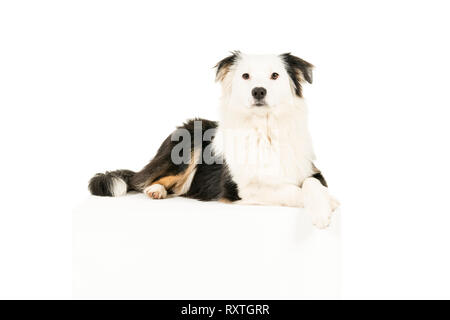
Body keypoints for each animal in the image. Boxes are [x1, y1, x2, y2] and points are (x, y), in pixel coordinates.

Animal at [89, 52, 340, 228]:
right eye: (245, 76)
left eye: (275, 75)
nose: (258, 91)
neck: (264, 129)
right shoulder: (241, 188)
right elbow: (289, 190)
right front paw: (328, 206)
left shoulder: (310, 171)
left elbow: (312, 184)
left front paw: (324, 204)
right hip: (187, 147)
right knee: (144, 180)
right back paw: (156, 190)